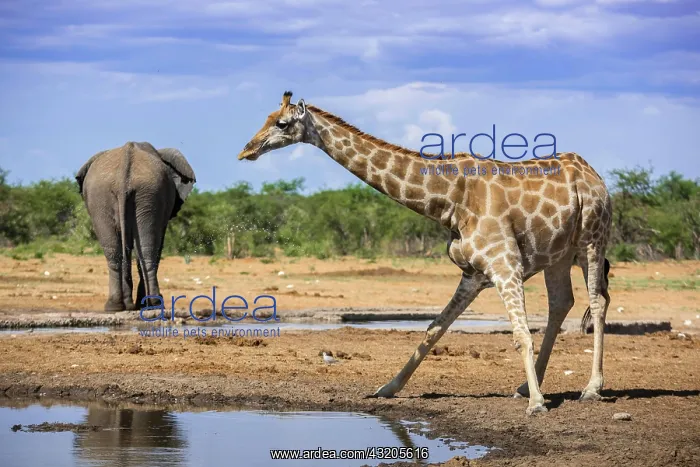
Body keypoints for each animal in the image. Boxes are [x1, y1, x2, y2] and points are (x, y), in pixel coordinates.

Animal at [237, 91, 612, 415]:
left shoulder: (505, 265)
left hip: (592, 239)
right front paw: (388, 388)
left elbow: (520, 335)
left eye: (282, 123)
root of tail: (595, 176)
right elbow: (434, 328)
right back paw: (525, 386)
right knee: (561, 302)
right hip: (558, 255)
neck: (449, 199)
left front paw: (536, 404)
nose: (246, 151)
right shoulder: (473, 273)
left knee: (596, 301)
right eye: (267, 118)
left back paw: (590, 388)